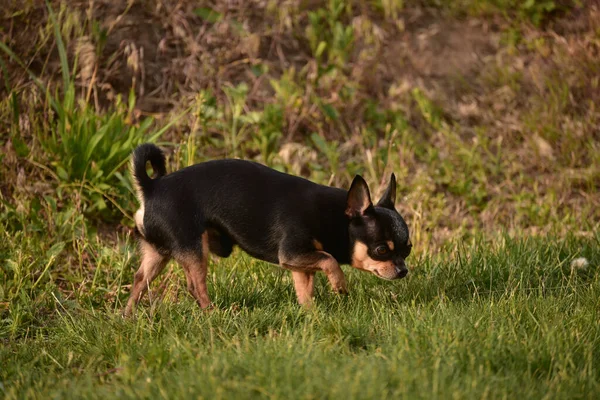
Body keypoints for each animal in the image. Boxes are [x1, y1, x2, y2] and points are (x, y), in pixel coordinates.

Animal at [124, 142, 410, 314]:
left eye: (407, 250)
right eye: (382, 250)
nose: (404, 271)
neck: (338, 218)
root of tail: (151, 188)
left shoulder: (300, 264)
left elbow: (305, 289)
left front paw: (311, 315)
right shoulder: (293, 253)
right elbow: (330, 260)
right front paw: (339, 285)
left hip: (157, 254)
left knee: (139, 280)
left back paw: (128, 316)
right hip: (193, 249)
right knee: (195, 287)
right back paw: (213, 314)